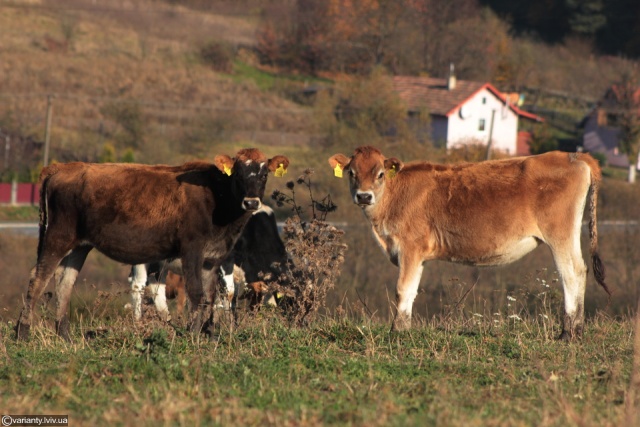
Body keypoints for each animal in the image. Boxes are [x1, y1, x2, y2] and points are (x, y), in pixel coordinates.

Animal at [15, 150, 290, 342]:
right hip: (58, 236)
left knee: (64, 283)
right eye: (239, 174)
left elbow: (212, 297)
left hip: (79, 245)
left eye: (264, 174)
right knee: (37, 278)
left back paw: (65, 336)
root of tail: (62, 167)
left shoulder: (214, 258)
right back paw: (23, 333)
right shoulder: (192, 250)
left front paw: (208, 334)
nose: (251, 202)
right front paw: (192, 335)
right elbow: (198, 295)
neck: (217, 197)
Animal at [330, 145, 608, 340]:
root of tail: (573, 156)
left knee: (571, 273)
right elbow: (412, 290)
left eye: (379, 174)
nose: (364, 196)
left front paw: (396, 331)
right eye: (352, 173)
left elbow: (403, 289)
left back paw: (568, 333)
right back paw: (576, 330)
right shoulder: (418, 256)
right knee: (580, 271)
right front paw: (404, 329)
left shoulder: (410, 247)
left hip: (559, 234)